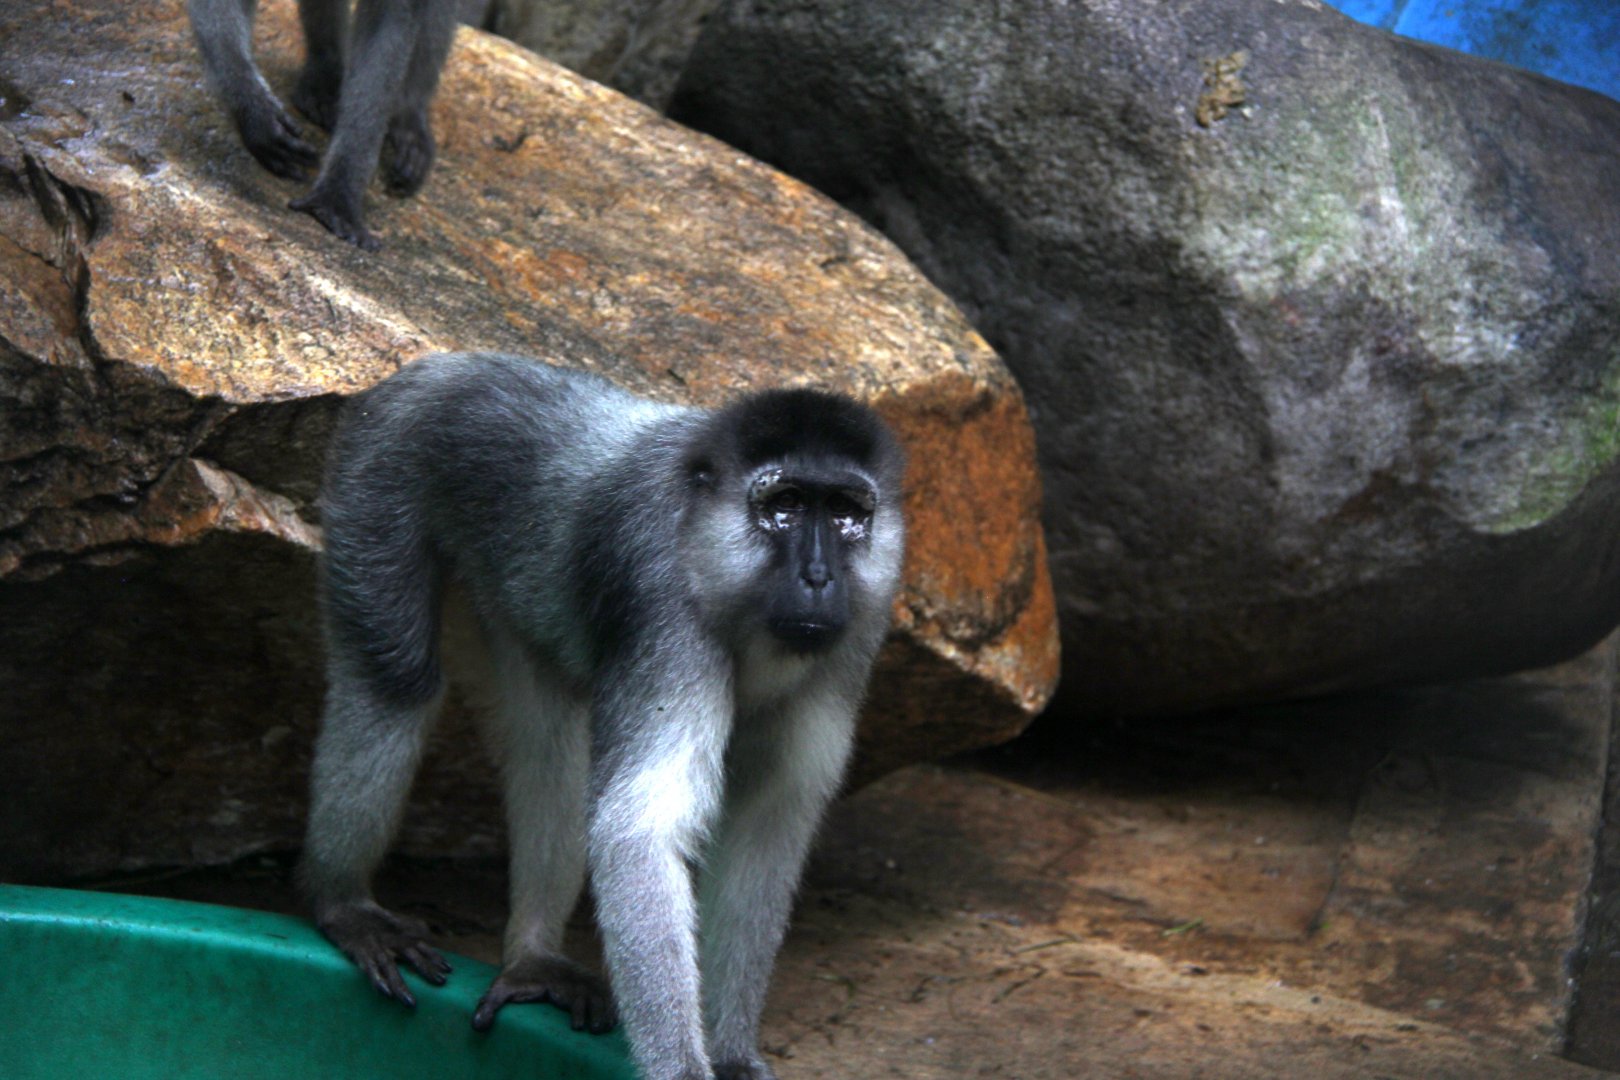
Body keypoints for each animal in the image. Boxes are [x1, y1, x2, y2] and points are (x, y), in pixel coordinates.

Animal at [299, 352, 906, 1080]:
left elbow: (766, 826)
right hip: (379, 478)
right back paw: (342, 905)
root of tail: (439, 367)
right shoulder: (666, 610)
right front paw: (686, 1067)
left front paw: (733, 1056)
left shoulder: (855, 634)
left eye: (845, 512)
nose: (818, 576)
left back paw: (531, 956)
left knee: (547, 737)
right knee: (395, 682)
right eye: (784, 507)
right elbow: (639, 832)